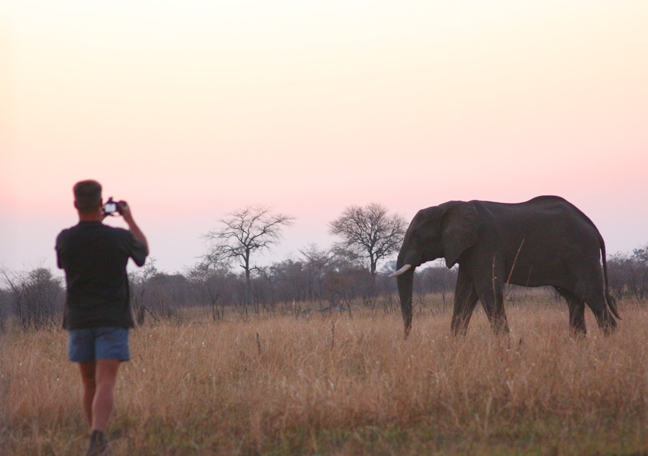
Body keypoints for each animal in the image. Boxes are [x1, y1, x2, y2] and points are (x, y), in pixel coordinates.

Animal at [388, 196, 620, 338]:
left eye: (417, 236)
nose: (407, 337)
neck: (448, 206)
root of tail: (593, 227)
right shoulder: (467, 250)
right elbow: (463, 294)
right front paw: (455, 349)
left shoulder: (485, 243)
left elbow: (487, 291)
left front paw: (505, 351)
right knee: (574, 299)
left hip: (582, 254)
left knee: (591, 295)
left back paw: (607, 346)